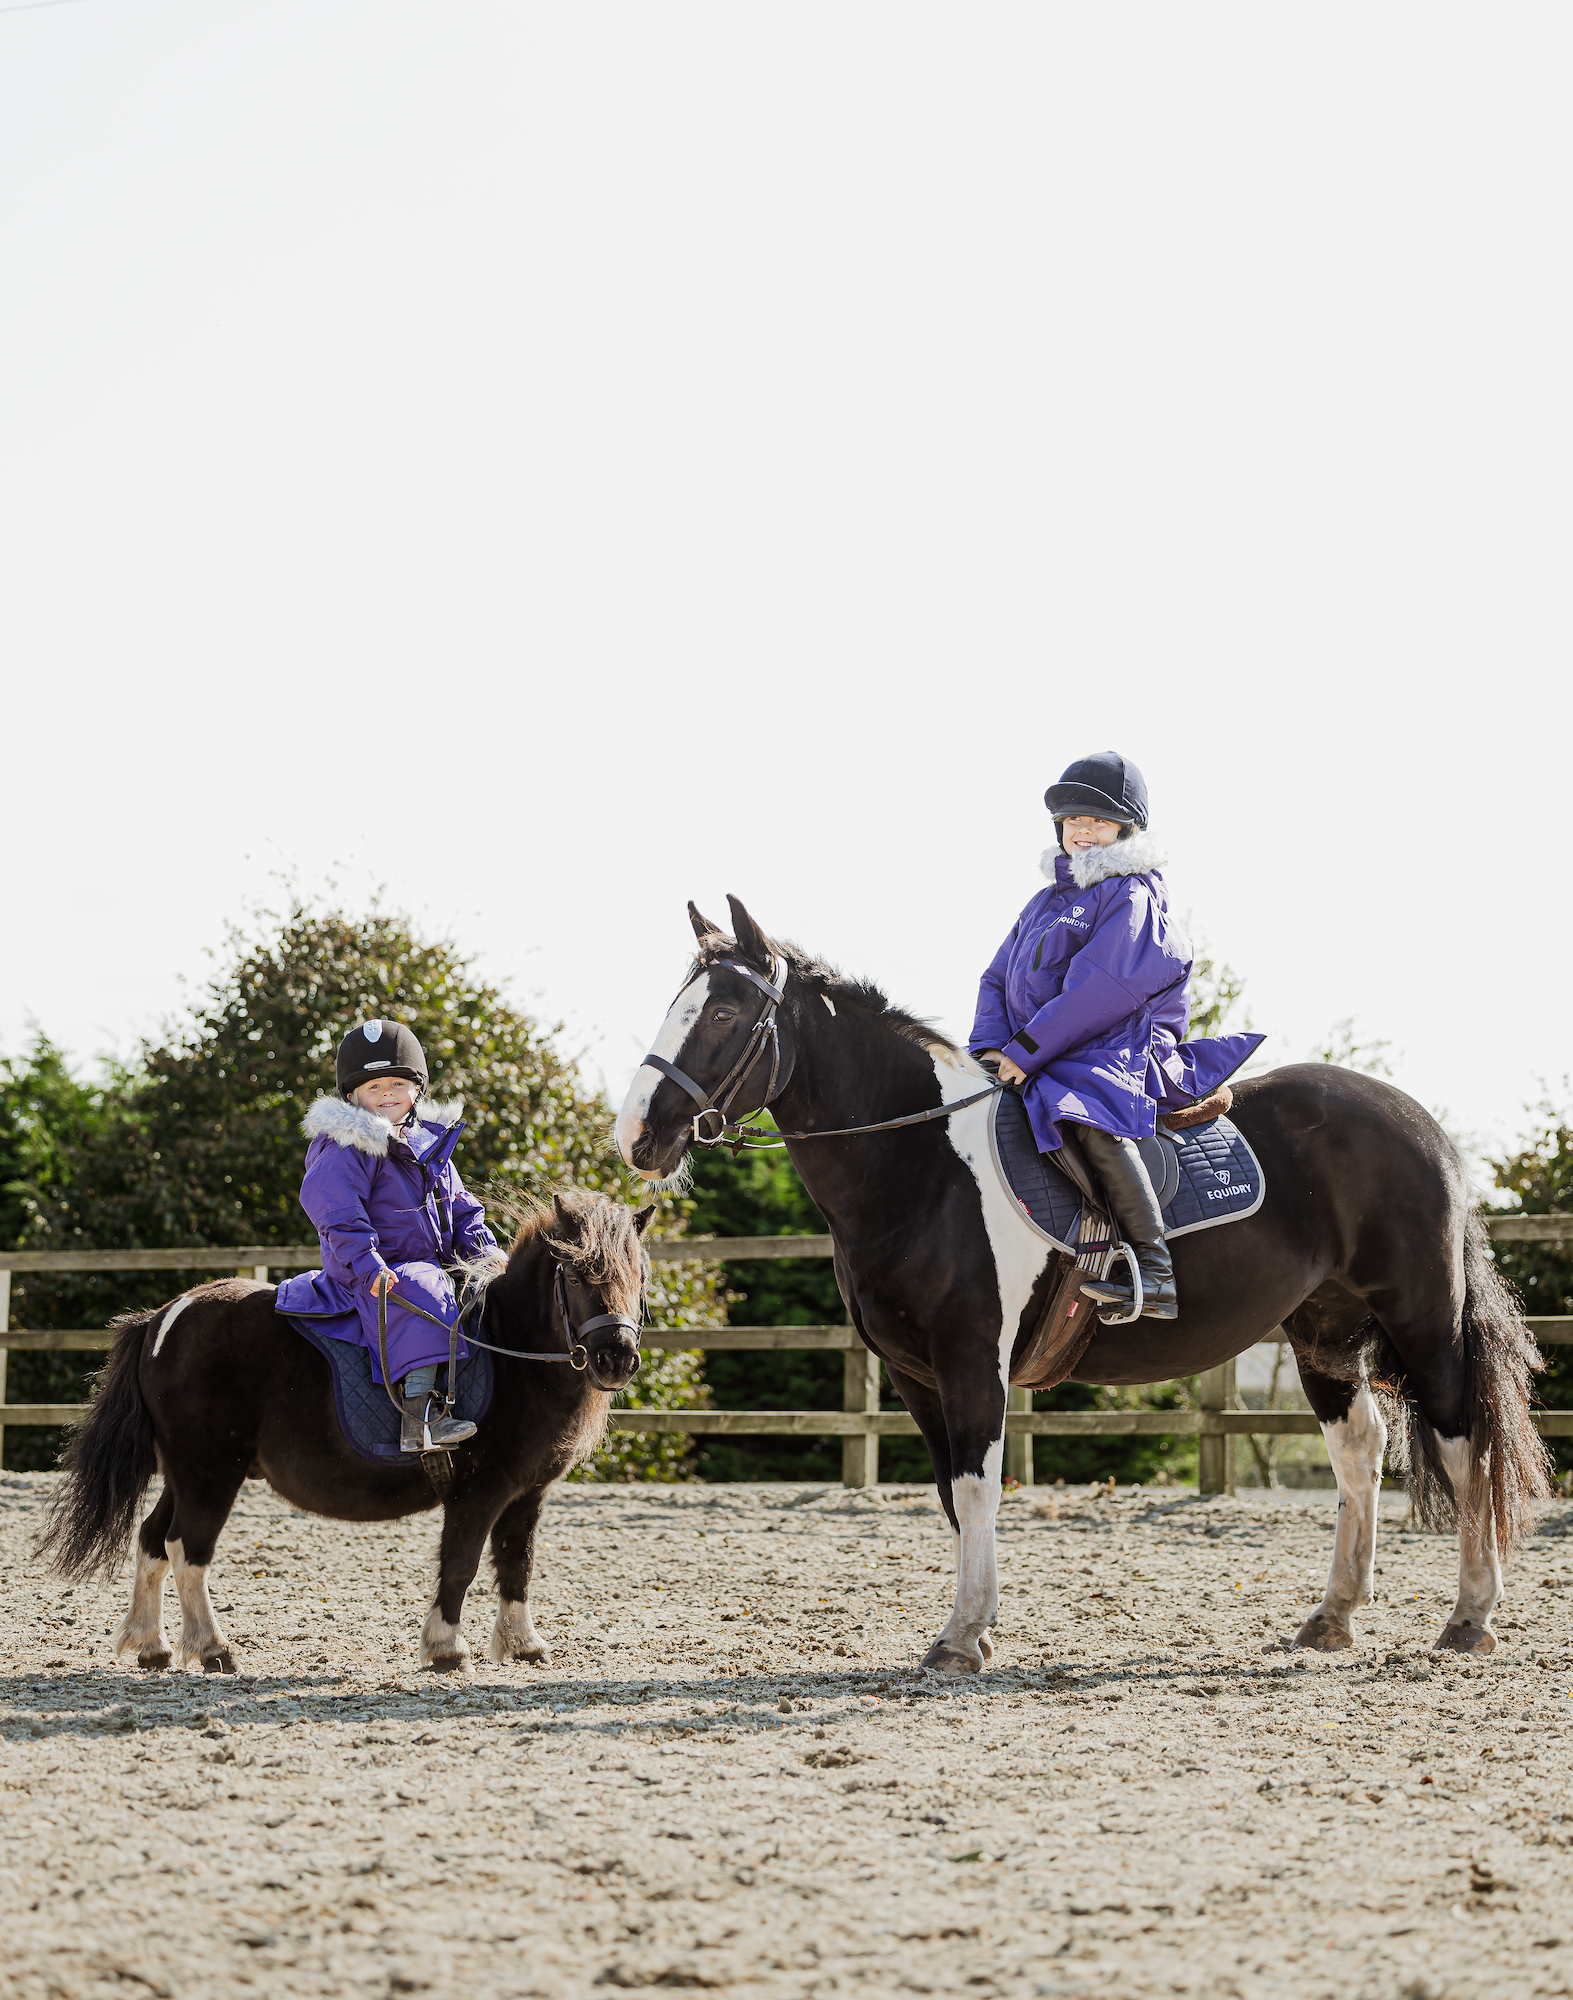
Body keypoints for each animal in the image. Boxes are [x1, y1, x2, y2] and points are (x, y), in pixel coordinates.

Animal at [39, 1184, 648, 1672]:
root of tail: (165, 1316)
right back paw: (212, 1648)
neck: (509, 1351)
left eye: (638, 1275)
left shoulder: (528, 1492)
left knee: (152, 1540)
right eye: (579, 1274)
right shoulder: (479, 1490)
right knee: (188, 1549)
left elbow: (517, 1562)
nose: (616, 1359)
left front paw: (523, 1645)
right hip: (210, 1473)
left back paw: (152, 1646)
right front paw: (446, 1648)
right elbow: (461, 1563)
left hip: (185, 1472)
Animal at [612, 904, 1544, 1672]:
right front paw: (977, 1629)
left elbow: (977, 1487)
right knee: (1359, 1451)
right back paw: (1332, 1617)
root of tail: (1421, 1125)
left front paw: (960, 1640)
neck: (921, 1165)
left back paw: (1468, 1617)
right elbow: (952, 1496)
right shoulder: (914, 1377)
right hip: (1321, 1334)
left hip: (1421, 1322)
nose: (636, 1136)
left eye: (723, 1013)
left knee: (1460, 1442)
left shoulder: (970, 1361)